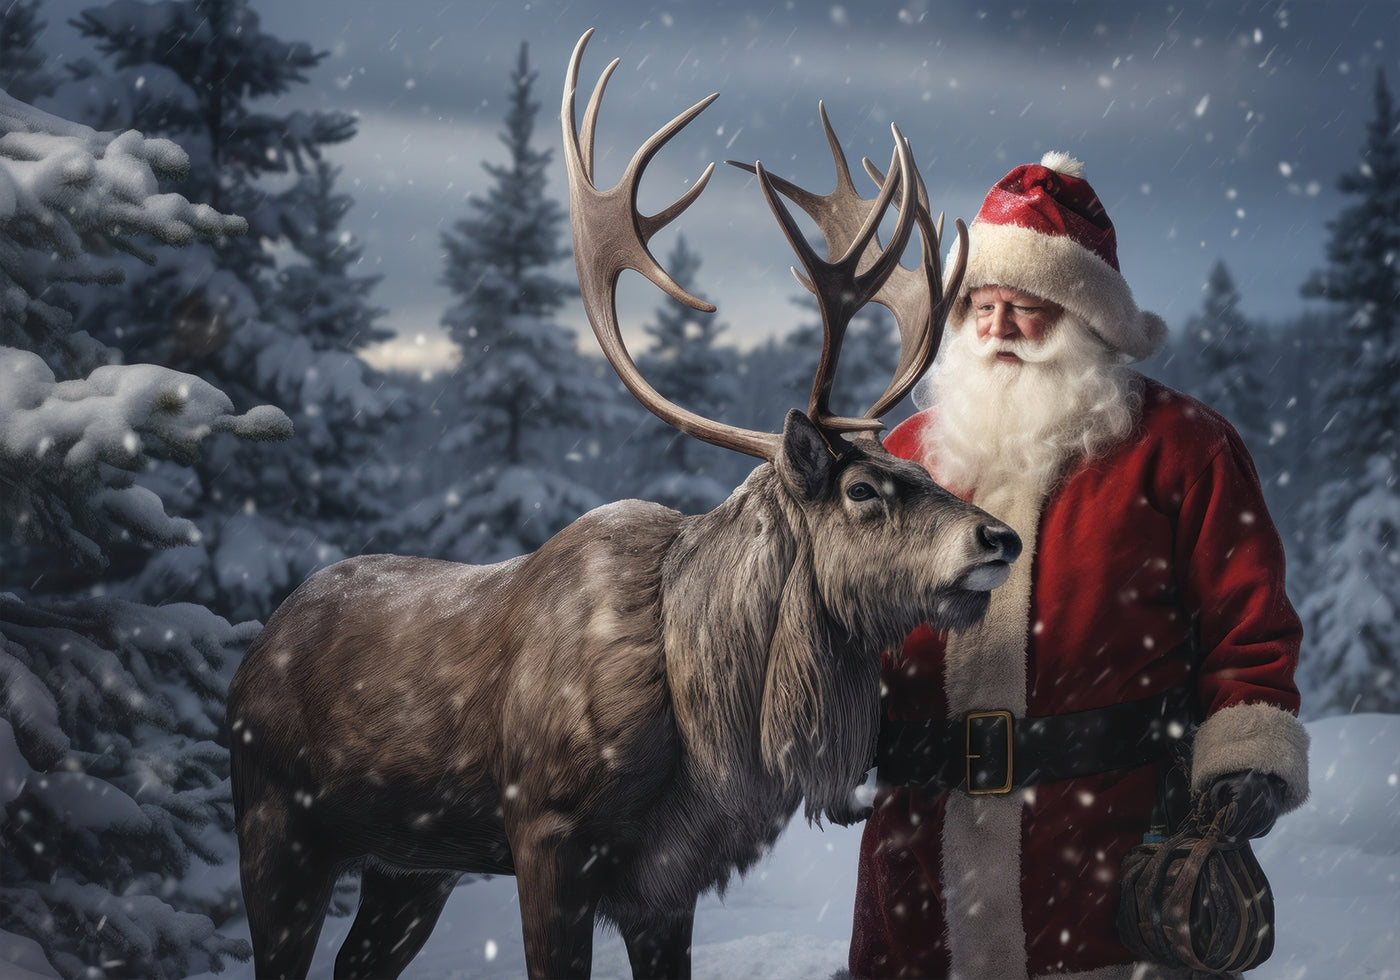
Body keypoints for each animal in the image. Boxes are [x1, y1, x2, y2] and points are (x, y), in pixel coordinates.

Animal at [226, 30, 1021, 980]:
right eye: (862, 489)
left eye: (913, 465)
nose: (1000, 537)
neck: (712, 723)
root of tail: (253, 646)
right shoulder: (546, 831)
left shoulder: (670, 878)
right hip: (276, 823)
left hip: (412, 863)